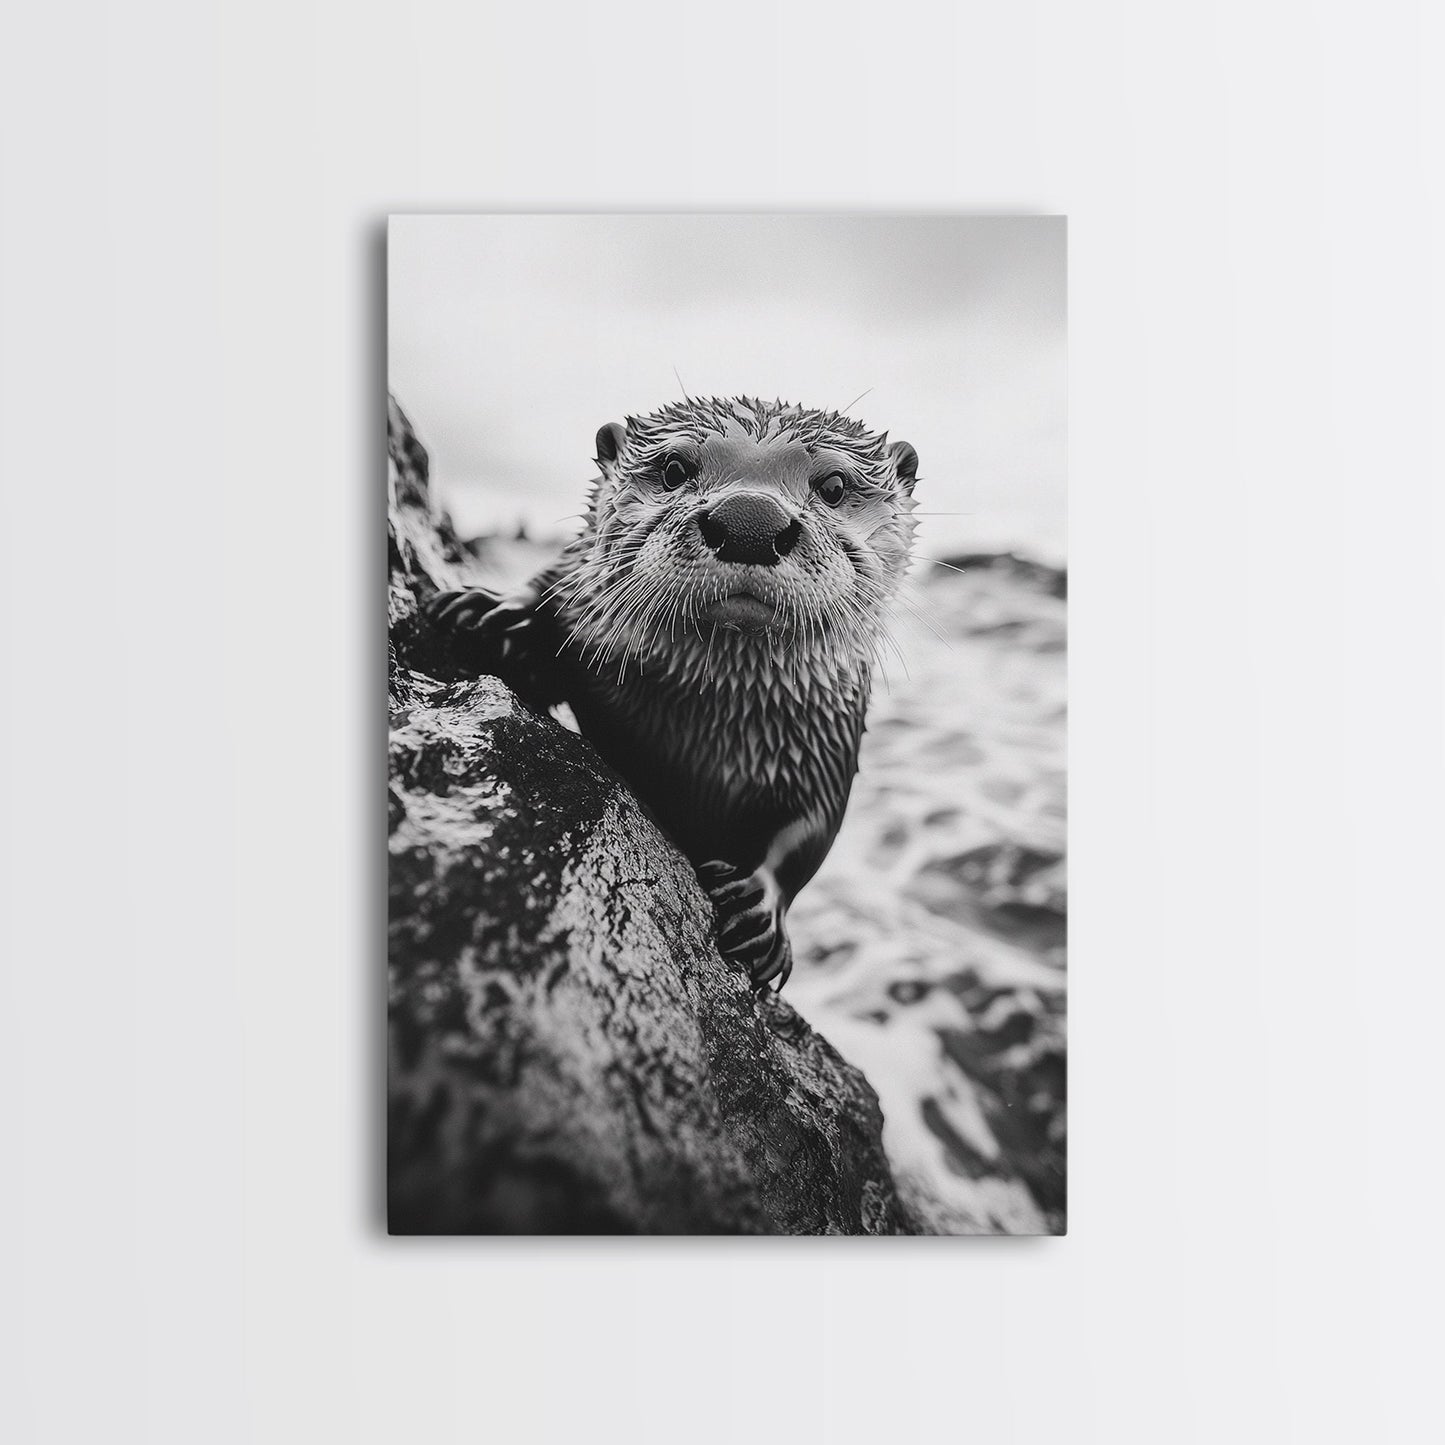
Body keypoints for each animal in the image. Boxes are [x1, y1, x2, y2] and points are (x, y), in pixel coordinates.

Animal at [425, 396, 918, 990]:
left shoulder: (828, 740)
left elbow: (809, 832)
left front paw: (758, 908)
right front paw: (495, 613)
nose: (750, 521)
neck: (703, 727)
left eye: (835, 485)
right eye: (675, 468)